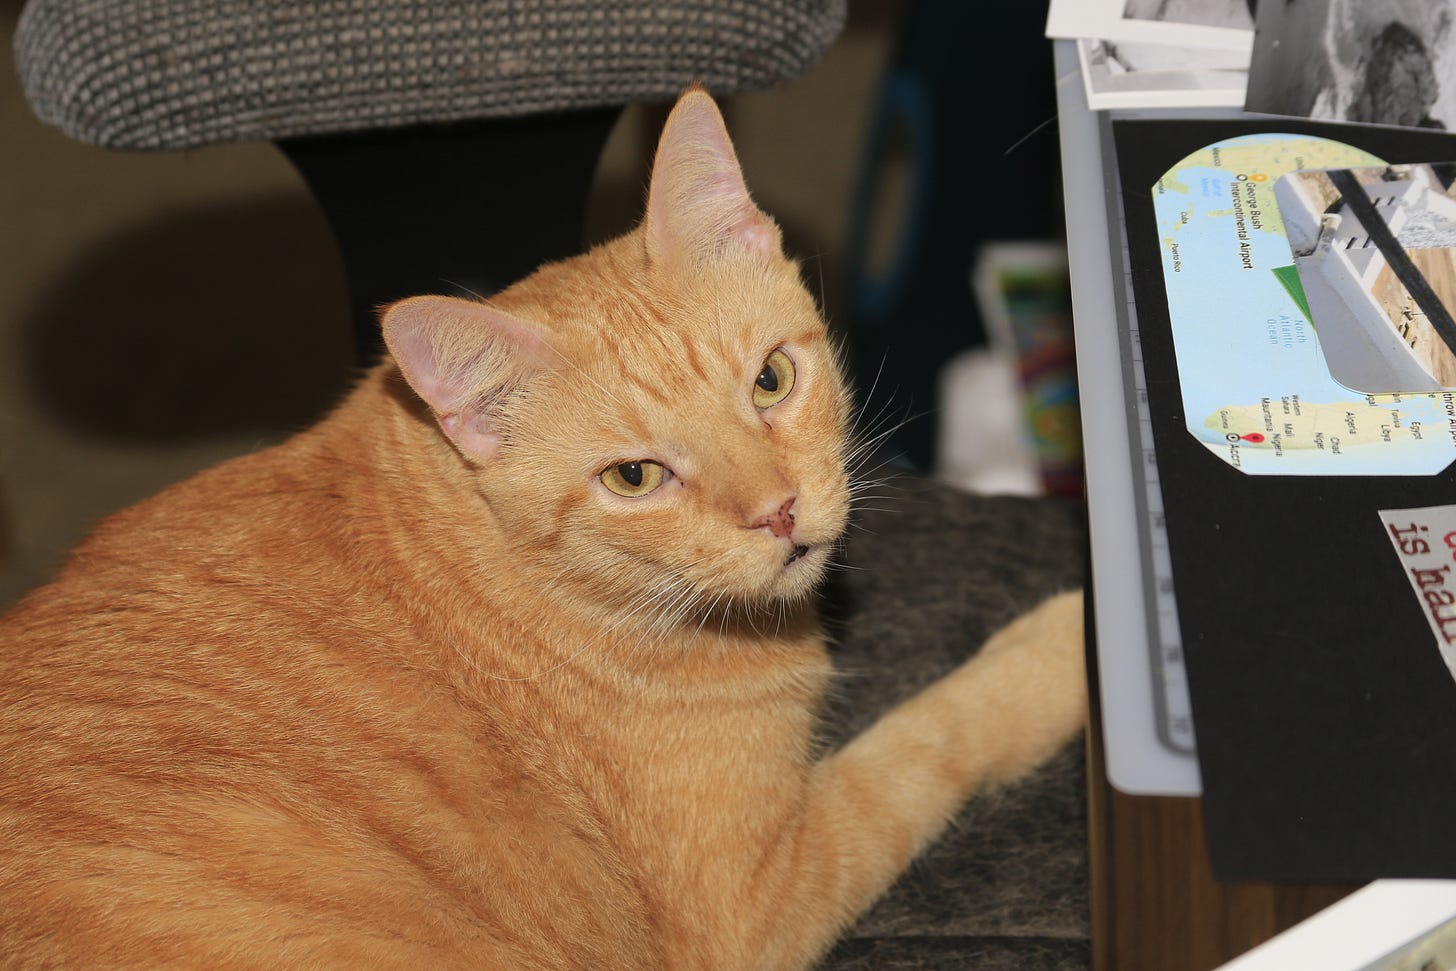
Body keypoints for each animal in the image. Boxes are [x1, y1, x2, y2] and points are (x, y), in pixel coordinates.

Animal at [0, 87, 1083, 966]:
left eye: (772, 379)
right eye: (635, 476)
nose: (776, 513)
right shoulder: (759, 900)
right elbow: (933, 738)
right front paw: (1057, 651)